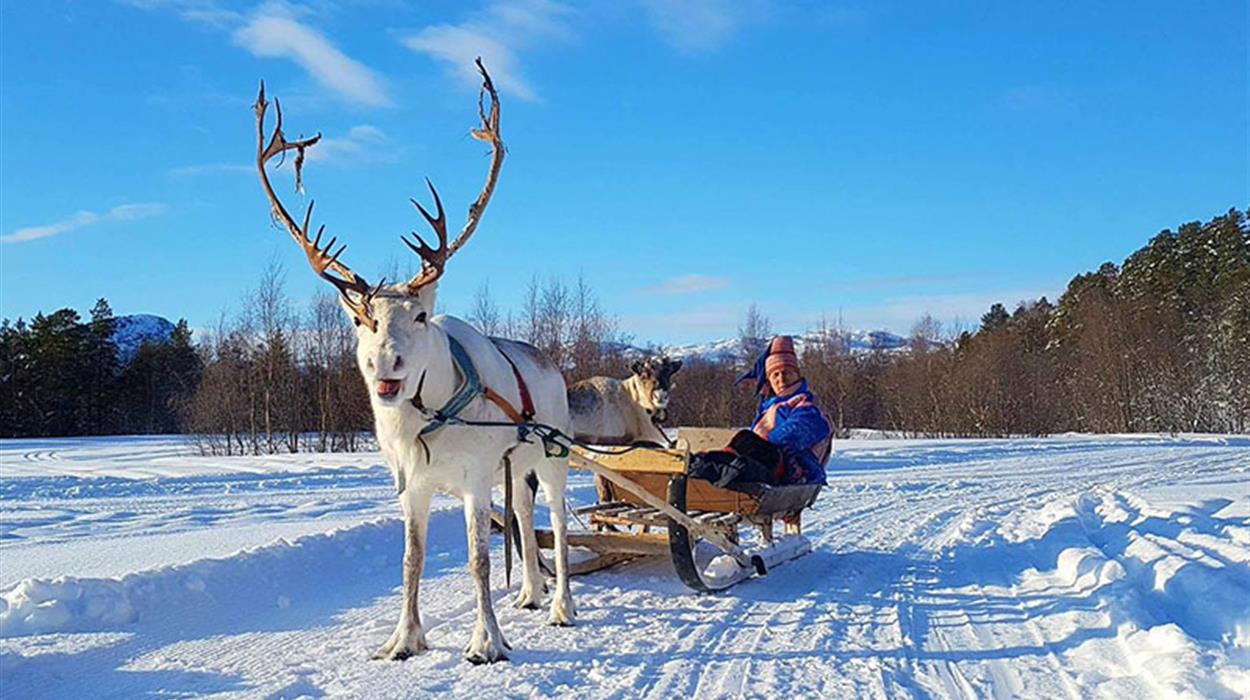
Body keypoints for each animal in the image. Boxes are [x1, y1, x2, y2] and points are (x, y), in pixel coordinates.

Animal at [253, 60, 572, 665]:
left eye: (421, 316)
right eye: (361, 320)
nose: (387, 365)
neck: (426, 418)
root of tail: (552, 362)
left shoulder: (476, 479)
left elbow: (478, 560)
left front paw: (486, 641)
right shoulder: (413, 486)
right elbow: (412, 561)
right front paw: (404, 639)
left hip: (554, 456)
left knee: (560, 526)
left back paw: (563, 605)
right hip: (517, 467)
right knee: (524, 516)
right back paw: (529, 593)